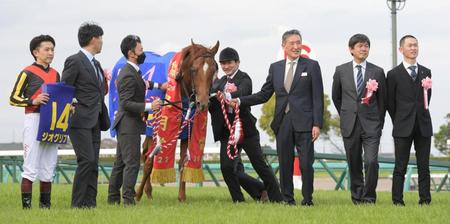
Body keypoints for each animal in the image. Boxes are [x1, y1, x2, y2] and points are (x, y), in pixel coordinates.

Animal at [135, 39, 220, 202]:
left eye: (214, 70)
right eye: (193, 69)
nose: (202, 103)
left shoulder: (187, 130)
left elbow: (183, 161)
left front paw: (181, 196)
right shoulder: (157, 128)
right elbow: (150, 162)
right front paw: (137, 194)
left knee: (145, 152)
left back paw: (148, 191)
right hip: (147, 126)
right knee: (144, 155)